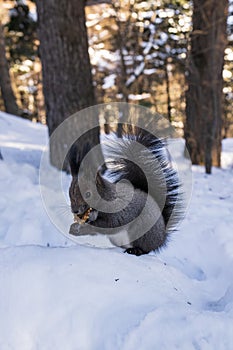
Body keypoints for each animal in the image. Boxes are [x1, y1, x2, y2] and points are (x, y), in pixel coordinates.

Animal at [68, 124, 183, 256]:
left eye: (88, 194)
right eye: (69, 193)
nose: (75, 211)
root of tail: (162, 236)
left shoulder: (118, 213)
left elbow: (109, 225)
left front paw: (84, 226)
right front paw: (75, 227)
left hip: (142, 230)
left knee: (146, 249)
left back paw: (135, 250)